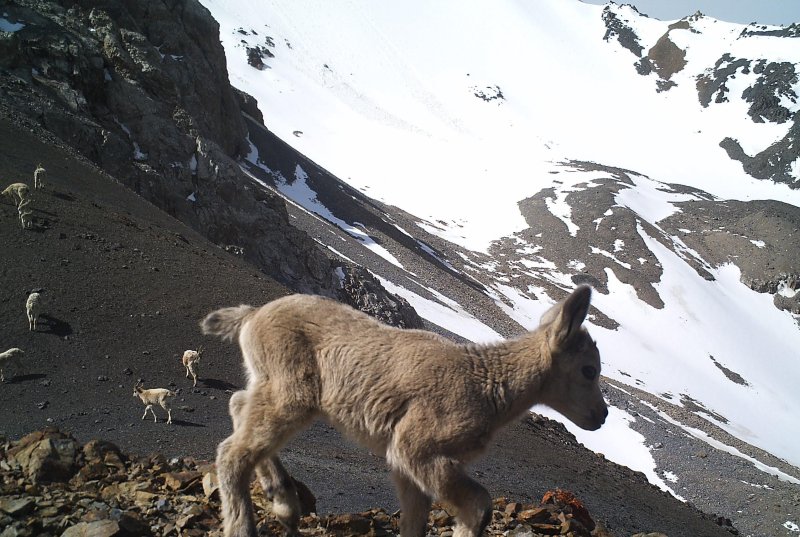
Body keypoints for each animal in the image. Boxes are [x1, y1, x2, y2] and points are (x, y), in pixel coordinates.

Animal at [200, 284, 608, 536]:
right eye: (589, 370)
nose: (600, 416)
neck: (486, 384)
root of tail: (252, 316)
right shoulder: (415, 447)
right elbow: (479, 504)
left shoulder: (408, 466)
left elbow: (415, 522)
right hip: (291, 390)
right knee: (233, 449)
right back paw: (247, 524)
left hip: (269, 380)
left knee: (239, 406)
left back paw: (283, 501)